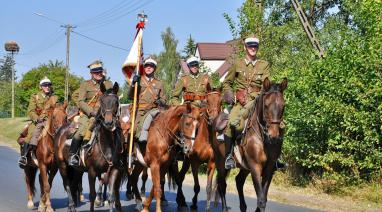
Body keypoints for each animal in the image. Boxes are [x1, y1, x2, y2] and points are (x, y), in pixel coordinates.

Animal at [212, 78, 286, 212]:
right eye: (266, 105)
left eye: (283, 106)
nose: (273, 136)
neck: (264, 139)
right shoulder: (255, 167)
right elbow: (261, 199)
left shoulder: (269, 169)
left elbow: (263, 198)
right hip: (220, 162)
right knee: (222, 184)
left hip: (245, 166)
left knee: (238, 181)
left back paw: (243, 206)